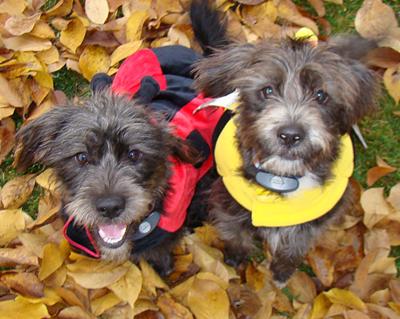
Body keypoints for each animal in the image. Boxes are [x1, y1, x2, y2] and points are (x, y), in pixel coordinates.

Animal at [192, 0, 380, 284]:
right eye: (267, 90)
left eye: (321, 95)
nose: (290, 135)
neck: (283, 177)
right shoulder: (228, 207)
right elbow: (236, 235)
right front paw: (236, 258)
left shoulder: (312, 223)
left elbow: (294, 246)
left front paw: (282, 270)